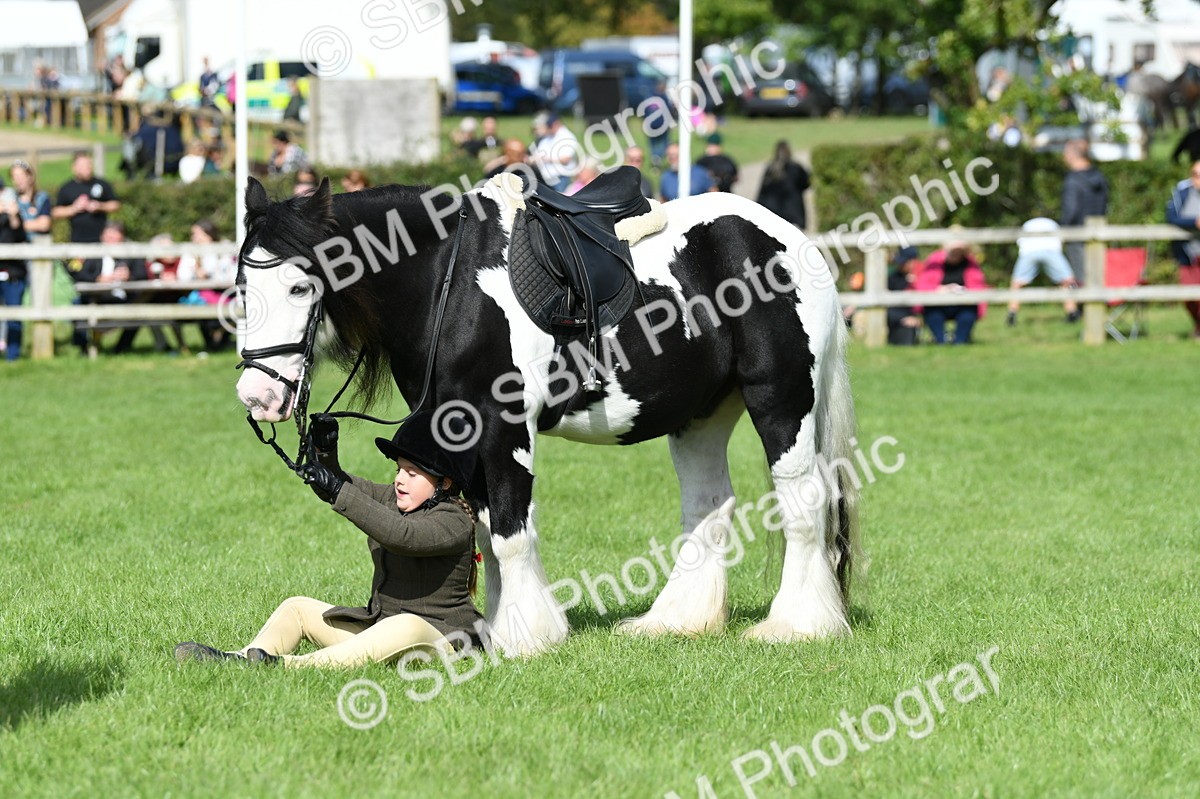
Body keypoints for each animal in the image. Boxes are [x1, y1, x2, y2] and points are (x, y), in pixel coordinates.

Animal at [233, 172, 860, 657]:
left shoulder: (504, 427)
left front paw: (526, 638)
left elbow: (511, 534)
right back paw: (675, 621)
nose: (256, 397)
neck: (450, 283)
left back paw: (797, 625)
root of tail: (791, 239)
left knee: (803, 501)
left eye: (299, 287)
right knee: (709, 506)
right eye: (241, 286)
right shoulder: (457, 432)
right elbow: (487, 532)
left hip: (780, 402)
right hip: (699, 417)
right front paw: (499, 627)